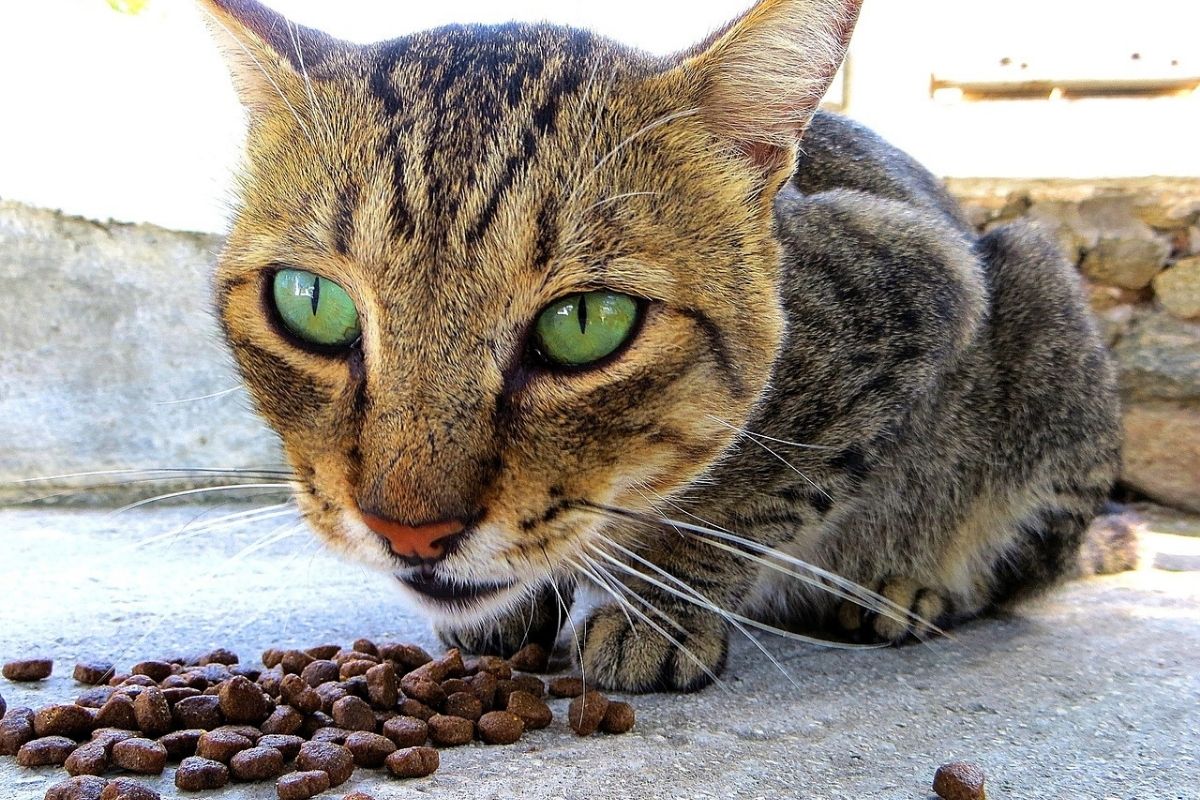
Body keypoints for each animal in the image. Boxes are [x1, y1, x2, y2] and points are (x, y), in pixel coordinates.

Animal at [196, 0, 1123, 690]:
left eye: (586, 322)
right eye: (311, 303)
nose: (410, 533)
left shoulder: (923, 289)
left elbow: (743, 496)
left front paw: (656, 608)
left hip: (1037, 296)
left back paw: (908, 585)